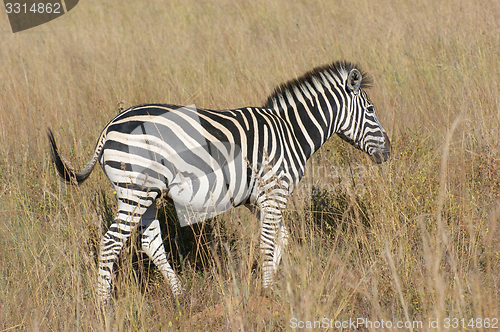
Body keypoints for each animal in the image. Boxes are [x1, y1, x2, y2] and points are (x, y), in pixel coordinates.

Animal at [47, 59, 390, 304]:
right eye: (371, 109)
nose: (388, 150)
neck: (290, 132)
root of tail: (109, 127)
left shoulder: (259, 200)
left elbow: (282, 238)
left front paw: (273, 282)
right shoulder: (273, 192)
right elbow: (269, 242)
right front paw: (268, 291)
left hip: (147, 193)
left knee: (150, 242)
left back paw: (181, 296)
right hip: (136, 190)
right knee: (110, 243)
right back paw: (104, 305)